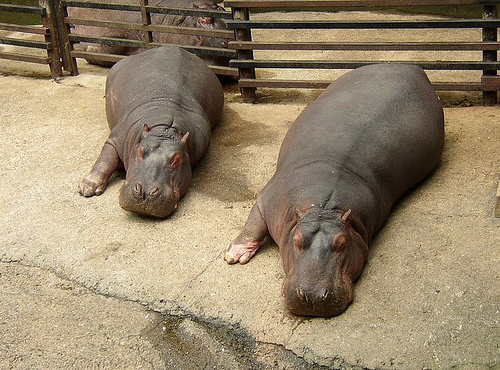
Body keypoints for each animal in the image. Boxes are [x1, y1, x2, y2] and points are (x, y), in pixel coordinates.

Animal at [69, 0, 229, 67]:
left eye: (225, 12)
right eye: (204, 18)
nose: (229, 42)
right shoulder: (119, 31)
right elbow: (111, 47)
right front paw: (89, 50)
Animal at [78, 45, 223, 218]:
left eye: (176, 159)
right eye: (140, 151)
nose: (145, 193)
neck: (165, 130)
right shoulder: (116, 139)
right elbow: (106, 159)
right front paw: (87, 189)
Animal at [225, 62, 444, 316]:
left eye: (342, 243)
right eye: (297, 240)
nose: (311, 296)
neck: (323, 207)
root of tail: (412, 67)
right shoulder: (266, 200)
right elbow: (253, 225)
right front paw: (233, 255)